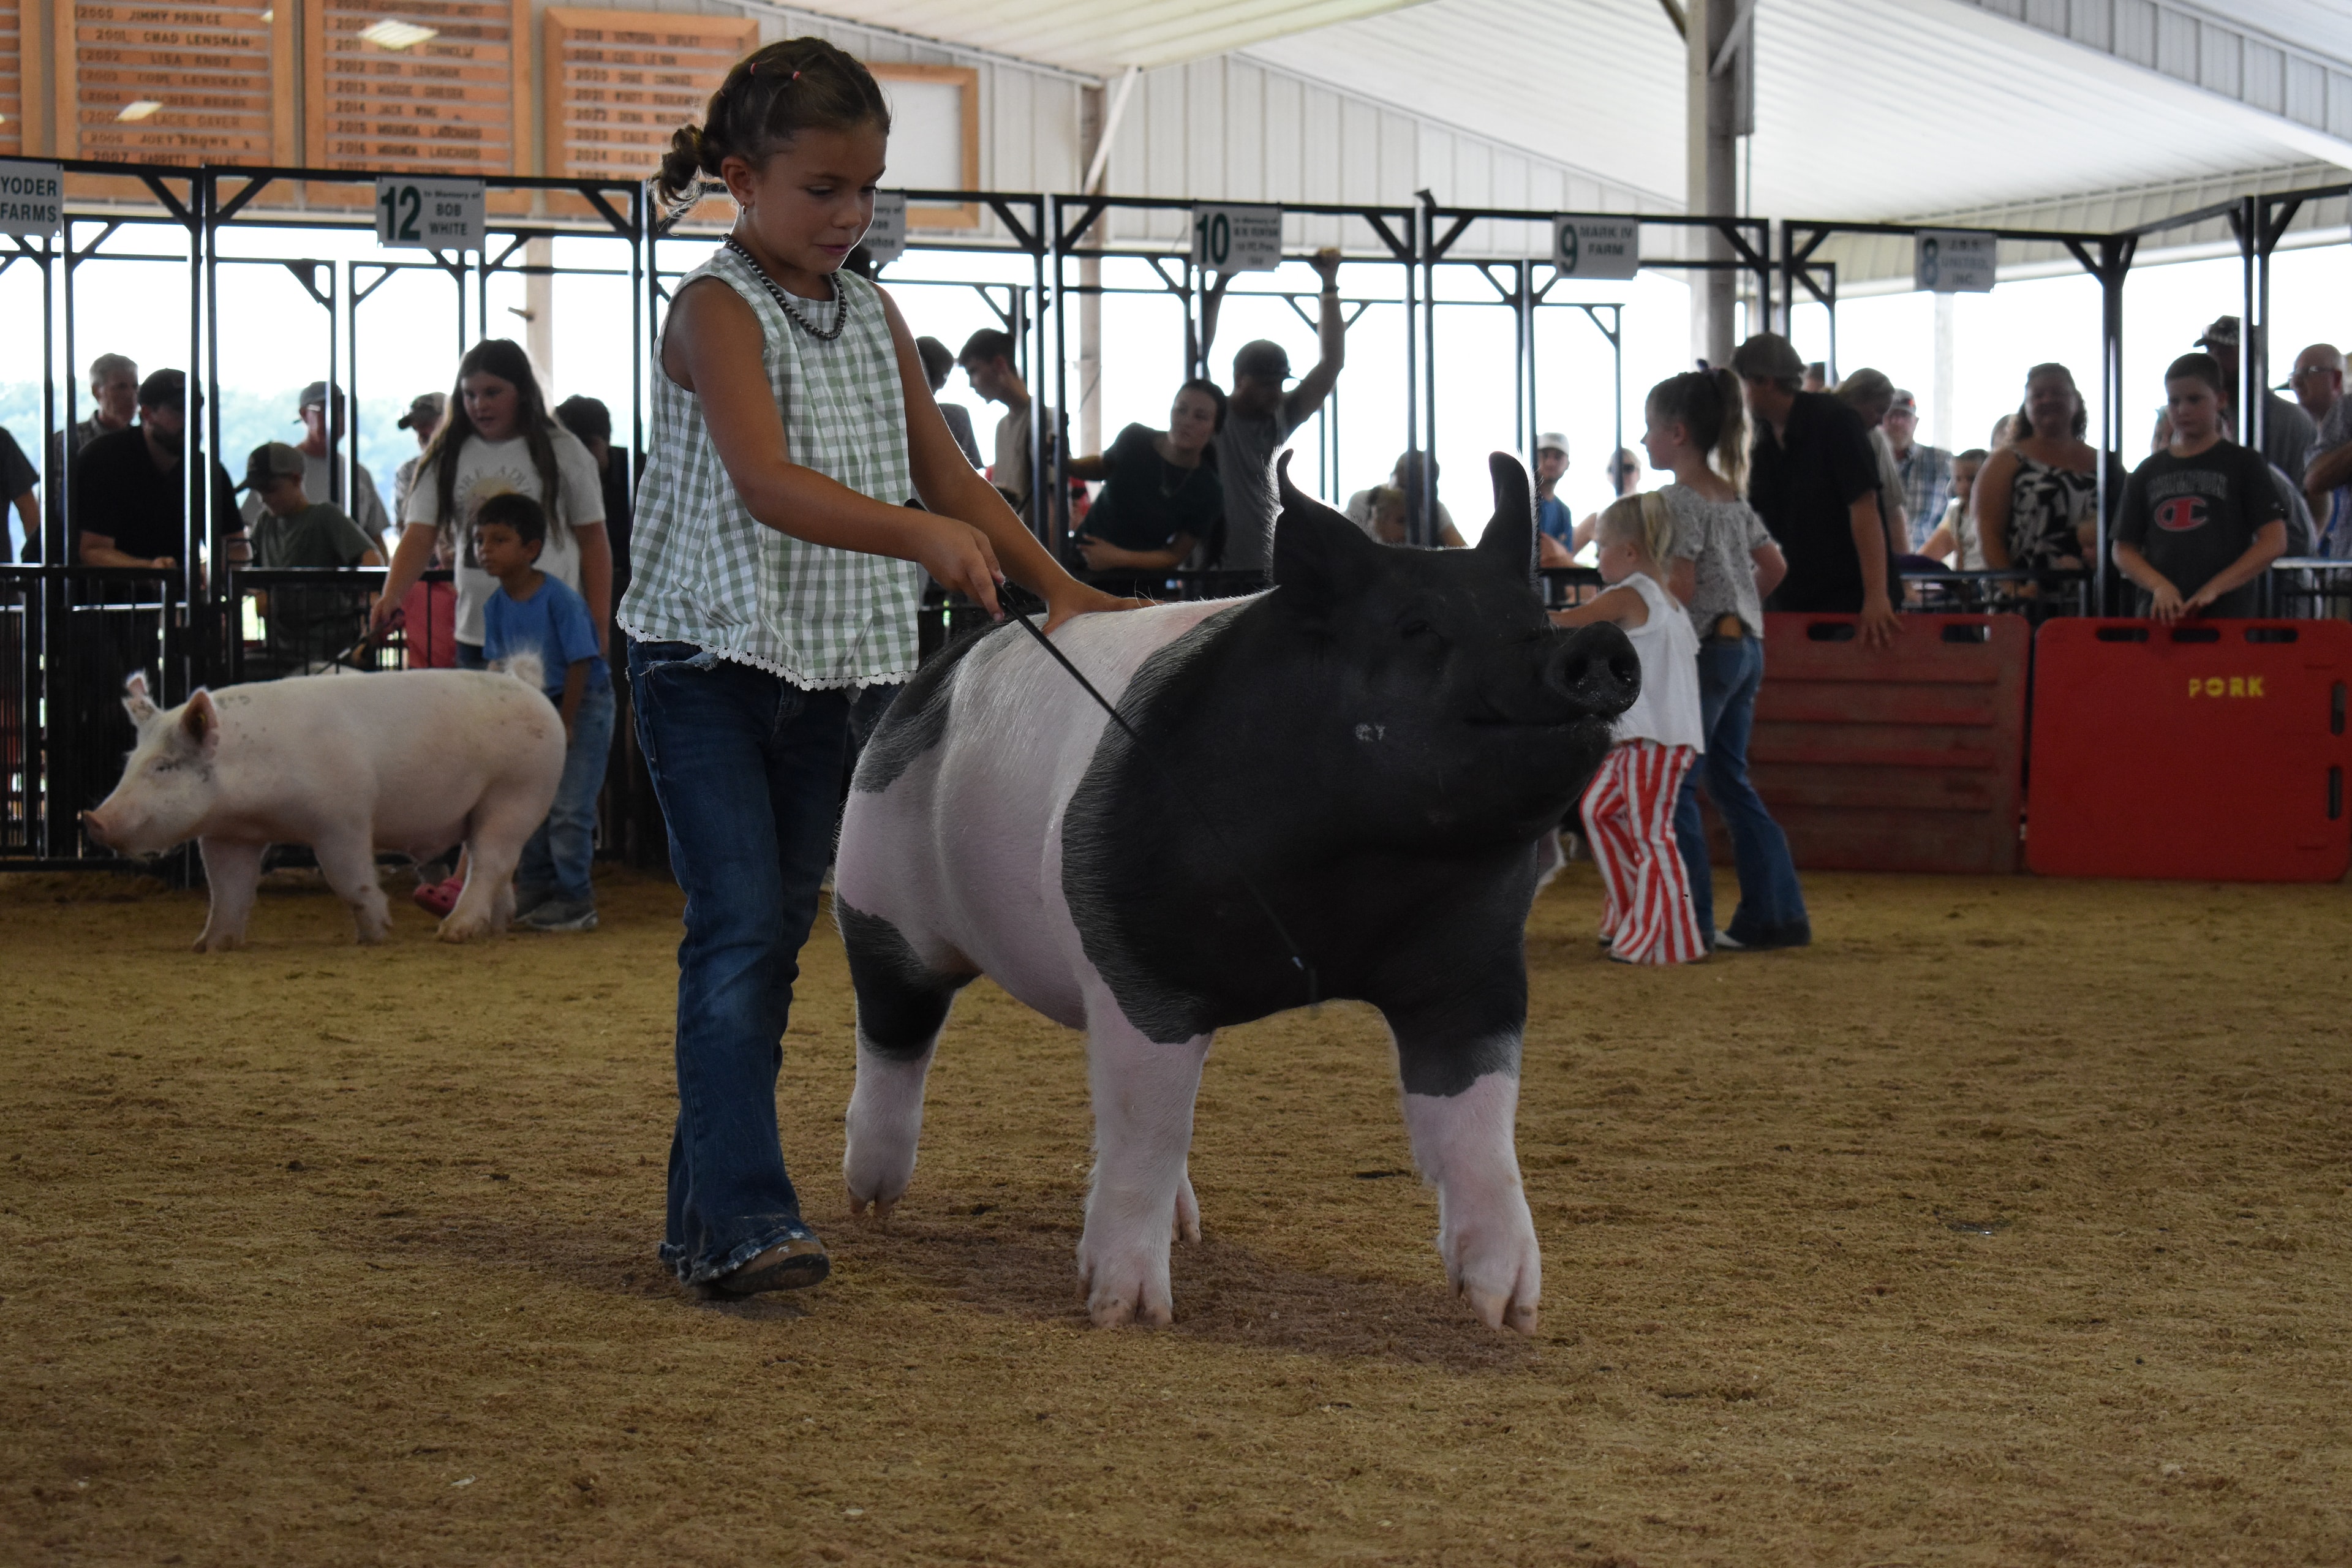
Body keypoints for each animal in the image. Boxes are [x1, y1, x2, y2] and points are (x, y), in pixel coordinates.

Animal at [83, 660, 566, 950]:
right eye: (130, 762)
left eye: (164, 766)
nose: (92, 819)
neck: (255, 806)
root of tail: (531, 689)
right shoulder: (227, 836)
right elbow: (227, 890)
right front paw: (210, 945)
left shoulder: (343, 817)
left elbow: (349, 879)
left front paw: (375, 935)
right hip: (487, 808)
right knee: (498, 864)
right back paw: (496, 928)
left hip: (517, 792)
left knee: (489, 861)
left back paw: (453, 933)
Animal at [834, 453, 1639, 1335]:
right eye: (1415, 625)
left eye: (1532, 615)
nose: (1599, 642)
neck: (1347, 891)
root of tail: (939, 668)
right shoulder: (1137, 965)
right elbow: (1149, 1129)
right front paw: (1128, 1313)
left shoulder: (1476, 973)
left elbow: (1479, 1126)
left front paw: (1509, 1311)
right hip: (871, 887)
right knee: (894, 1035)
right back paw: (872, 1202)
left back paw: (1187, 1230)